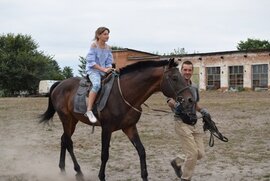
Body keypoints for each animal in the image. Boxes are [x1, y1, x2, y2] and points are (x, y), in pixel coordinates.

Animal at [39, 58, 196, 180]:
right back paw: (78, 171)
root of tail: (59, 84)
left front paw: (144, 176)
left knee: (63, 140)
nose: (190, 99)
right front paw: (101, 176)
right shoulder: (106, 129)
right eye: (175, 78)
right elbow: (104, 154)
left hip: (73, 120)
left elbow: (141, 151)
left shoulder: (129, 127)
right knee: (69, 142)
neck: (124, 95)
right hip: (66, 119)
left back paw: (63, 169)